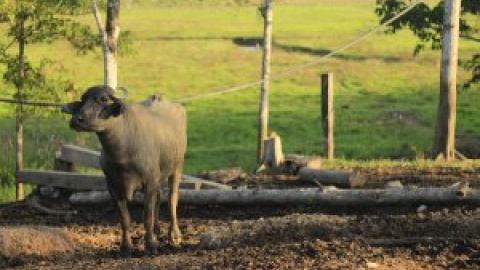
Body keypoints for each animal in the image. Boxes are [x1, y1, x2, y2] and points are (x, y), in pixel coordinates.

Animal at [62, 85, 186, 256]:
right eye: (83, 99)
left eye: (104, 99)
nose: (76, 120)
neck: (123, 152)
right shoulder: (112, 186)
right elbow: (124, 219)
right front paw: (126, 247)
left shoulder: (149, 182)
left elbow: (147, 216)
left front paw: (151, 245)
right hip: (159, 174)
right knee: (159, 198)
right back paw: (157, 230)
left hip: (177, 166)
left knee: (172, 199)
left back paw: (174, 236)